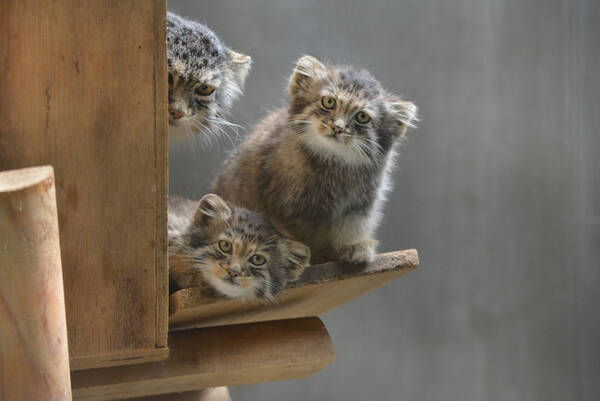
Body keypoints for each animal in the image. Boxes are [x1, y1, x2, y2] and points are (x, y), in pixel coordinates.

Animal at [214, 54, 418, 264]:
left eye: (362, 117)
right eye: (329, 102)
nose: (338, 127)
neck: (335, 163)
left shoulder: (360, 205)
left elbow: (352, 228)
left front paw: (354, 246)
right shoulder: (285, 205)